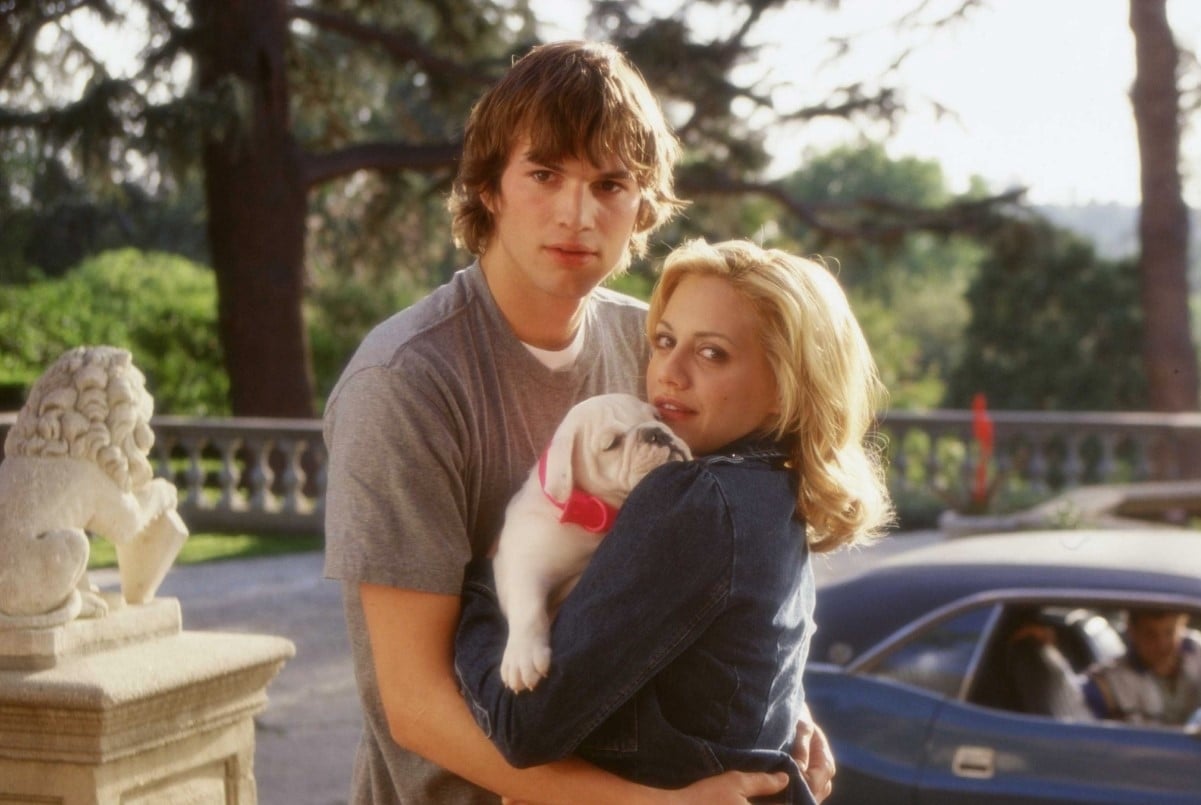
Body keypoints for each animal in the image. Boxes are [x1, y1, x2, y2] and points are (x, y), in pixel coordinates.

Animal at [492, 394, 691, 692]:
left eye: (658, 417)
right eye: (612, 444)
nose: (657, 433)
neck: (593, 511)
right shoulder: (521, 564)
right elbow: (526, 606)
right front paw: (522, 657)